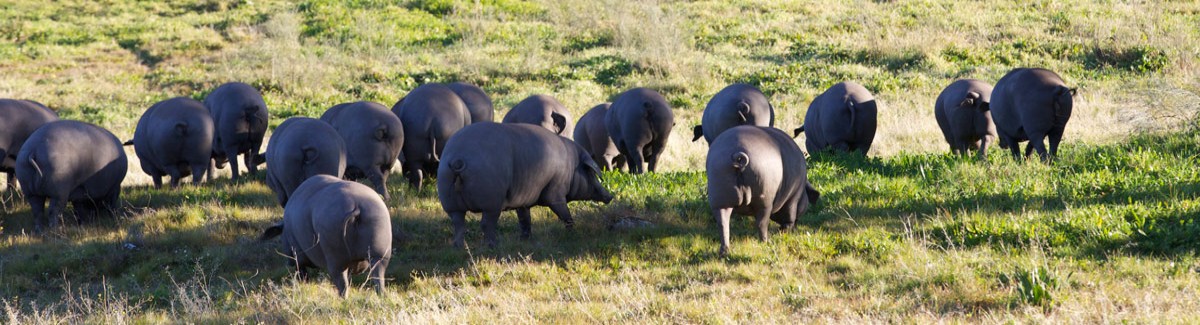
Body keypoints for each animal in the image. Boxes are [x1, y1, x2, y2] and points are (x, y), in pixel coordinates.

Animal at [260, 176, 391, 298]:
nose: (289, 262)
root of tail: (356, 206)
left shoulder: (298, 254)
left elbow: (302, 273)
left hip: (335, 253)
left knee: (341, 282)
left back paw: (342, 299)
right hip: (380, 250)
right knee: (378, 276)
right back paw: (381, 296)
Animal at [436, 123, 614, 248]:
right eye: (590, 172)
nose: (610, 196)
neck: (571, 167)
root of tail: (458, 159)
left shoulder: (522, 200)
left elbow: (524, 219)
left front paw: (524, 239)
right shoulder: (556, 193)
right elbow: (564, 213)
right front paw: (572, 232)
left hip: (449, 200)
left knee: (458, 223)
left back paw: (459, 247)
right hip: (491, 201)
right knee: (486, 224)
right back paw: (493, 246)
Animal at [705, 125, 820, 256]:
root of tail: (737, 155)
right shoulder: (793, 198)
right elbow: (789, 216)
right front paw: (784, 232)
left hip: (719, 199)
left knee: (723, 224)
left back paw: (724, 252)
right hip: (764, 201)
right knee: (762, 223)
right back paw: (766, 242)